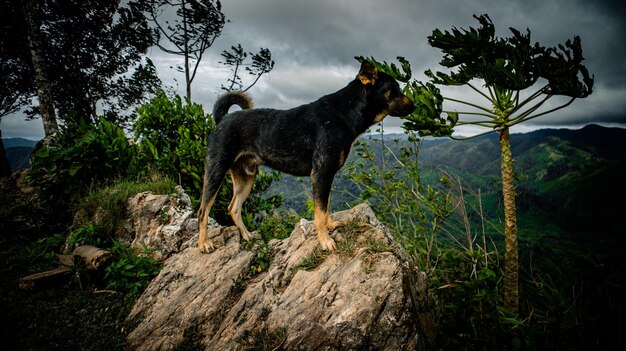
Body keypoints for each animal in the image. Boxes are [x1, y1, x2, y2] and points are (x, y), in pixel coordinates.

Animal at [197, 61, 416, 253]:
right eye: (395, 89)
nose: (414, 107)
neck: (346, 111)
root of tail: (222, 119)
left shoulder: (327, 175)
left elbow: (326, 207)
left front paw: (330, 226)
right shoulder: (321, 173)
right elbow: (319, 212)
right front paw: (325, 241)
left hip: (246, 176)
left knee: (233, 207)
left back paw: (246, 235)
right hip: (216, 171)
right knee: (203, 211)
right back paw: (204, 244)